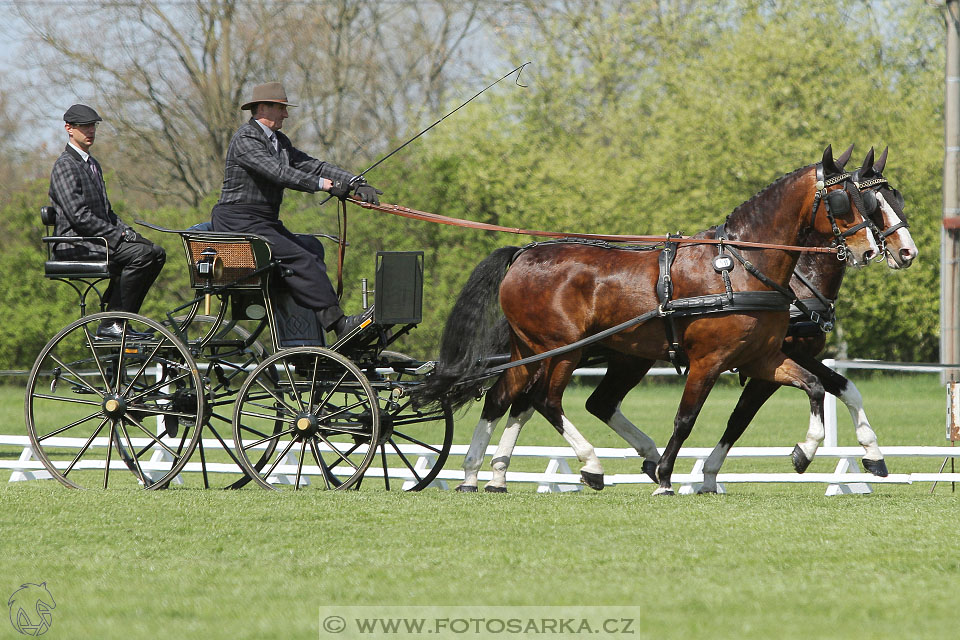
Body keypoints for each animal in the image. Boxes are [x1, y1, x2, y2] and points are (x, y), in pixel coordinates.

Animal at [416, 146, 880, 496]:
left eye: (870, 200)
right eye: (843, 200)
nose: (873, 249)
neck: (741, 267)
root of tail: (524, 253)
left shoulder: (760, 358)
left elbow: (814, 386)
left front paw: (806, 451)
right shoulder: (709, 361)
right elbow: (686, 418)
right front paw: (665, 478)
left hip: (534, 349)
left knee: (507, 397)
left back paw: (478, 474)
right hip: (562, 350)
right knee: (545, 400)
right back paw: (592, 465)